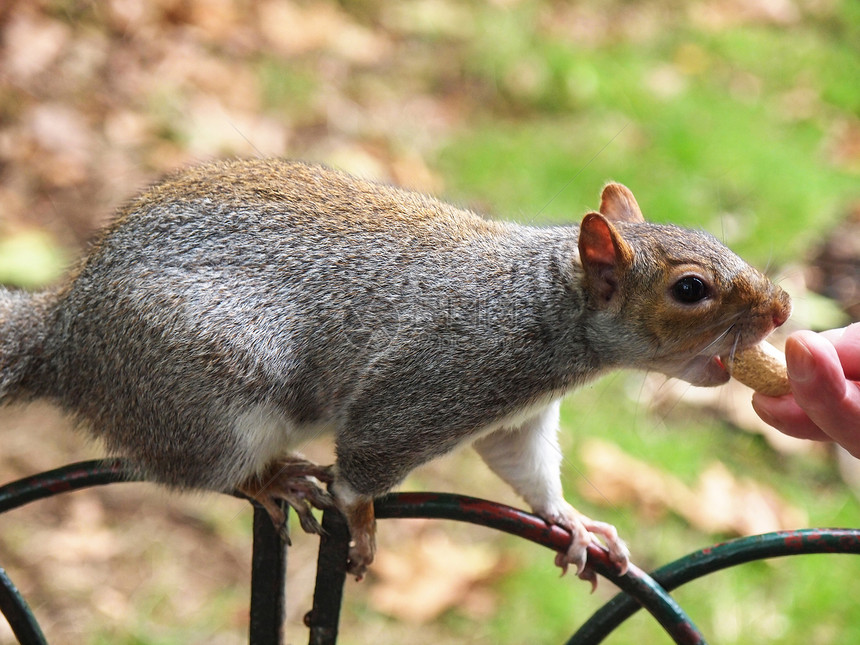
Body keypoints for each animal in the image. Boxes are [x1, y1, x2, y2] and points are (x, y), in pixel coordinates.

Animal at [1, 158, 792, 580]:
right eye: (690, 289)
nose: (783, 306)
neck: (544, 309)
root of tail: (65, 335)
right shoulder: (437, 380)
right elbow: (365, 461)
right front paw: (361, 519)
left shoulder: (517, 419)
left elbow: (527, 469)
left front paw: (572, 521)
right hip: (207, 393)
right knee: (203, 469)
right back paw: (272, 479)